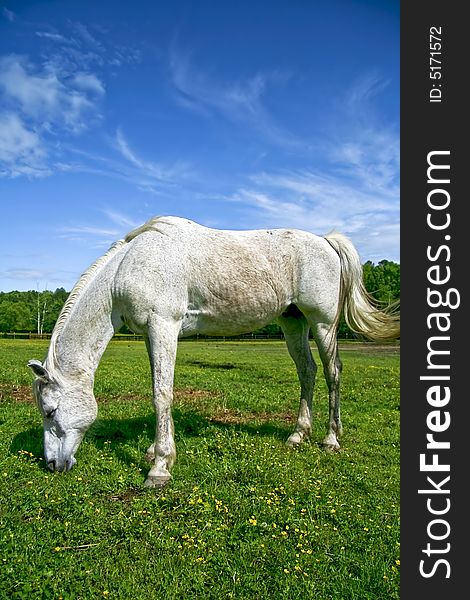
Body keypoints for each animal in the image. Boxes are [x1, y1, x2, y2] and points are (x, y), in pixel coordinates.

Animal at [27, 216, 398, 488]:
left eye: (49, 411)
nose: (52, 465)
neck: (128, 268)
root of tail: (325, 241)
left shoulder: (164, 326)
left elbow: (162, 394)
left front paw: (159, 468)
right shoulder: (151, 333)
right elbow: (159, 391)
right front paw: (153, 452)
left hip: (322, 324)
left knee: (333, 372)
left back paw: (331, 439)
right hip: (293, 323)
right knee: (307, 372)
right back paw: (297, 435)